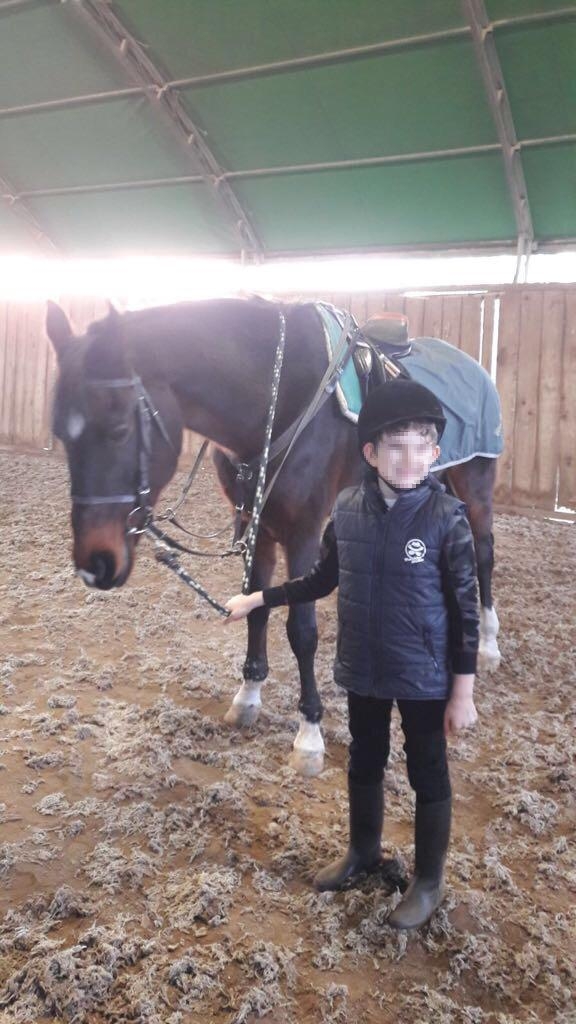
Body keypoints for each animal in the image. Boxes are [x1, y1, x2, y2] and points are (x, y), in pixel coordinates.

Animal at [47, 296, 500, 774]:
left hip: (475, 481)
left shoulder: (303, 532)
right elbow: (257, 605)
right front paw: (248, 695)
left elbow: (301, 629)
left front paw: (310, 733)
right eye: (60, 434)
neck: (275, 394)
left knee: (483, 555)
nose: (95, 564)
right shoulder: (254, 525)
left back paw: (487, 647)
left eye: (118, 430)